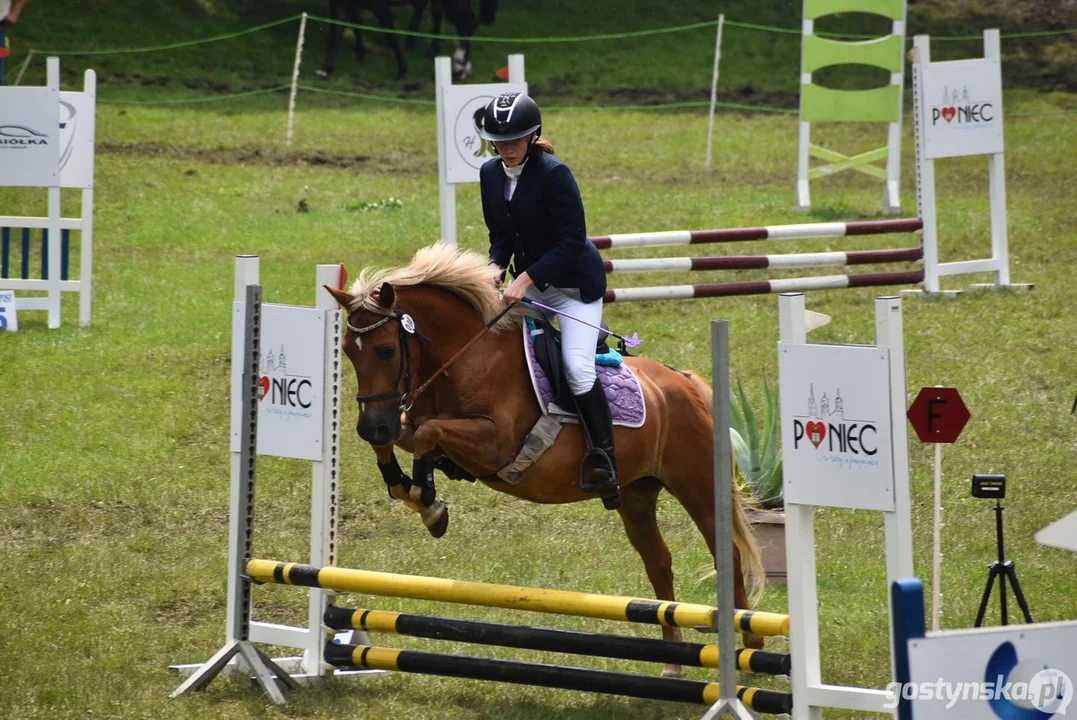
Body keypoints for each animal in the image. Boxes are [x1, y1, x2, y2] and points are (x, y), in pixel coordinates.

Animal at [325, 244, 766, 667]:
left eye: (386, 350)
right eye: (346, 350)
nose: (370, 426)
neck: (465, 355)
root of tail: (687, 383)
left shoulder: (496, 443)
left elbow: (428, 435)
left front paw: (427, 500)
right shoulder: (406, 421)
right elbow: (404, 438)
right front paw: (411, 490)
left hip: (698, 487)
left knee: (727, 558)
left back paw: (752, 647)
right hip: (637, 494)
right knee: (658, 561)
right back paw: (673, 661)